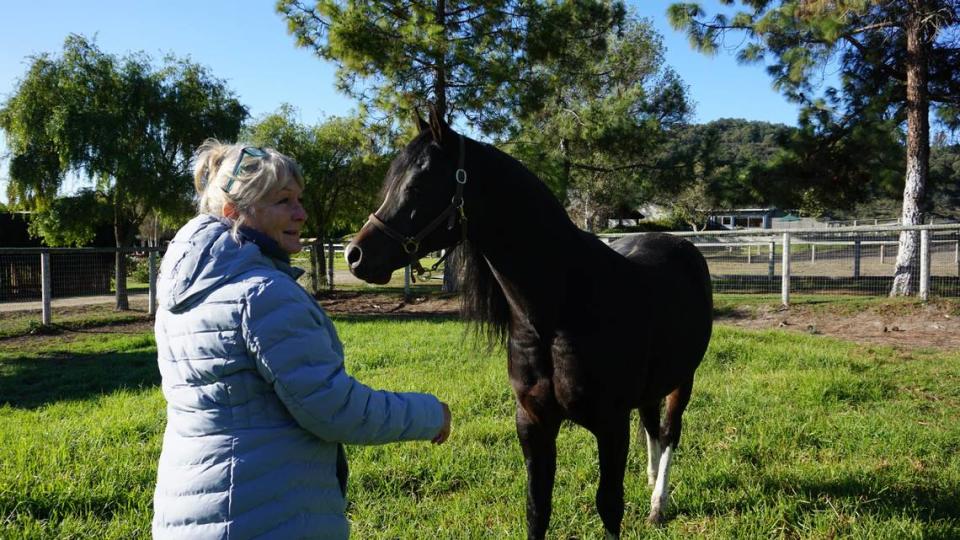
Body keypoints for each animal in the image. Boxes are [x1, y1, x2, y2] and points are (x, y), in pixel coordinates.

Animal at [344, 112, 712, 536]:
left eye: (417, 185)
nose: (355, 255)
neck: (559, 314)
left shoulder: (611, 425)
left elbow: (609, 506)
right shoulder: (533, 423)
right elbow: (538, 507)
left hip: (683, 380)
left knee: (668, 432)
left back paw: (658, 504)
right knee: (652, 426)